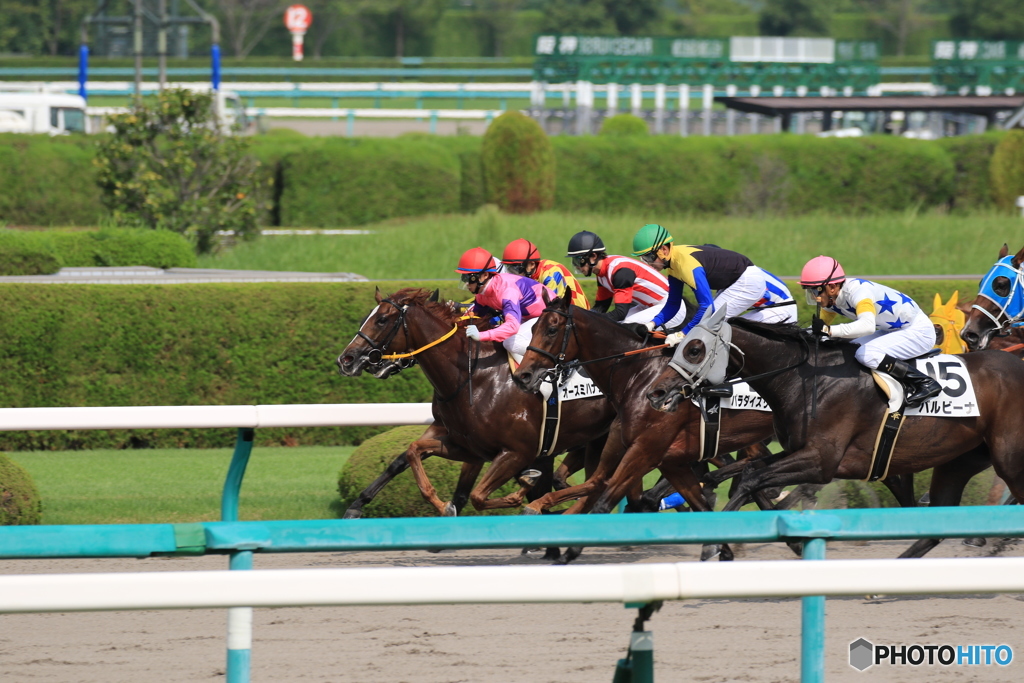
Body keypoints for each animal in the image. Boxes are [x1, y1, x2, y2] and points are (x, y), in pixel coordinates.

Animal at [337, 287, 617, 520]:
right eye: (365, 318)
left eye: (382, 320)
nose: (346, 360)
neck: (471, 377)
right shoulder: (467, 445)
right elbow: (411, 454)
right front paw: (357, 505)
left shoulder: (517, 452)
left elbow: (479, 496)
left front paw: (526, 491)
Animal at [646, 306, 1024, 558]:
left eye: (695, 349)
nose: (656, 392)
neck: (804, 378)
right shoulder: (798, 450)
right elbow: (751, 474)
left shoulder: (822, 461)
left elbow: (751, 479)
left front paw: (714, 544)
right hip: (960, 460)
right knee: (936, 525)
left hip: (1008, 459)